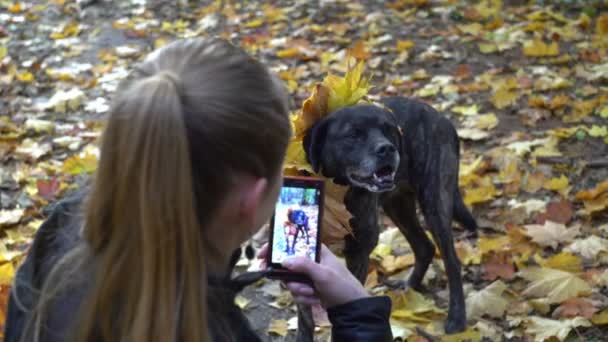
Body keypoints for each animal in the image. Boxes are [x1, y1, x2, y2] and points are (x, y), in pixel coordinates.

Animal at [294, 96, 476, 340]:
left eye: (389, 130)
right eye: (354, 134)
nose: (387, 149)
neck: (338, 190)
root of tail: (442, 118)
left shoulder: (359, 251)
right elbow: (305, 318)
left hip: (435, 202)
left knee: (452, 261)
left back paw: (456, 318)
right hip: (397, 205)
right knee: (424, 246)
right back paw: (408, 287)